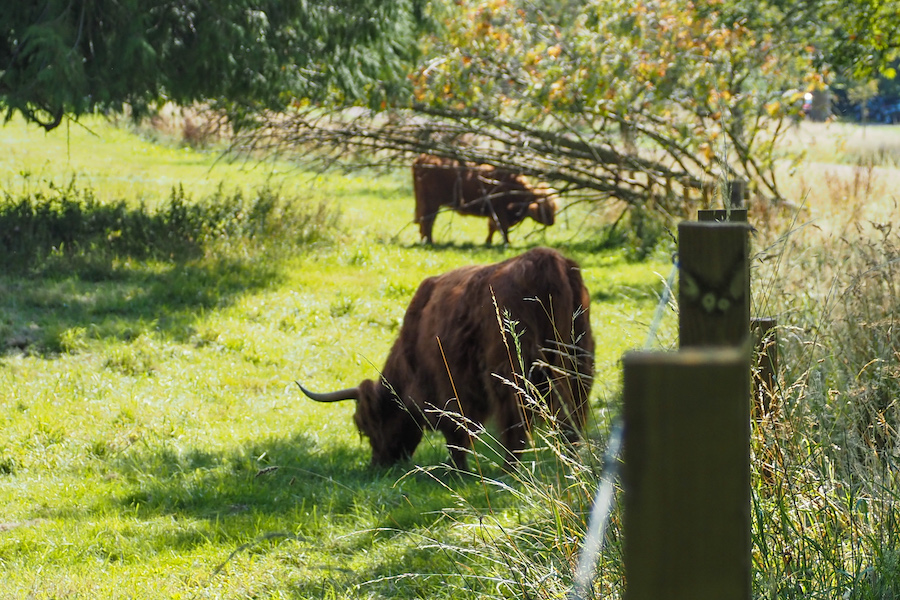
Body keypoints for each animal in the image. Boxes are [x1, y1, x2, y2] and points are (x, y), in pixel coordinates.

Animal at [297, 247, 594, 470]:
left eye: (367, 425)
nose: (378, 464)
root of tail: (546, 259)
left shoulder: (448, 386)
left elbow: (456, 431)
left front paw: (458, 470)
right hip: (578, 361)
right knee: (573, 414)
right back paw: (572, 463)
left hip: (512, 371)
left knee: (518, 420)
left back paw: (510, 470)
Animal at [412, 154, 558, 246]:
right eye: (545, 207)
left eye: (554, 207)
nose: (552, 222)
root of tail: (422, 157)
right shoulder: (499, 210)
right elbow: (502, 227)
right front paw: (507, 243)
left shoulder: (494, 212)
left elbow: (492, 227)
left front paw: (488, 242)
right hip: (431, 202)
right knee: (427, 220)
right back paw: (430, 241)